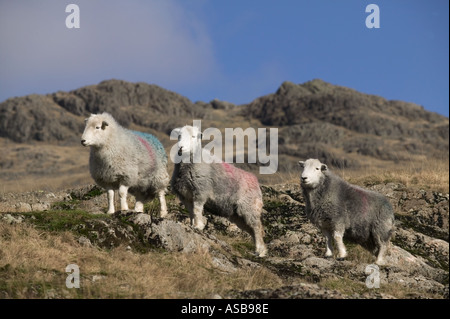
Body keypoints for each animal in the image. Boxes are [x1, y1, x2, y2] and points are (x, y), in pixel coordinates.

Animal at [169, 125, 268, 258]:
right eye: (179, 135)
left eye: (193, 136)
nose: (180, 147)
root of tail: (255, 181)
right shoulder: (186, 196)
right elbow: (191, 212)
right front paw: (192, 225)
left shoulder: (200, 191)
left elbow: (196, 210)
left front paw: (198, 226)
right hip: (237, 215)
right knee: (251, 229)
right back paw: (257, 249)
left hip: (249, 207)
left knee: (257, 228)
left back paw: (261, 251)